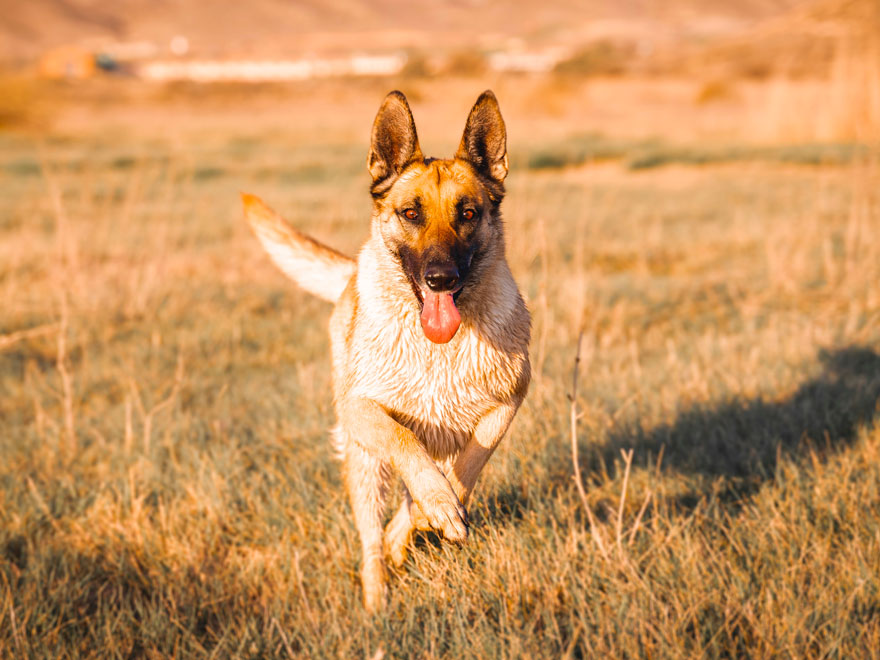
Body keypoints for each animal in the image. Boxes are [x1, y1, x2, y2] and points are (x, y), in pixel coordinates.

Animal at [241, 90, 528, 612]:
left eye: (468, 213)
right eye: (411, 213)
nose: (441, 279)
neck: (438, 348)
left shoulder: (508, 402)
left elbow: (468, 464)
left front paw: (438, 510)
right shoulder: (362, 410)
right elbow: (405, 443)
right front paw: (437, 505)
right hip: (363, 461)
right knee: (371, 537)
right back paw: (377, 597)